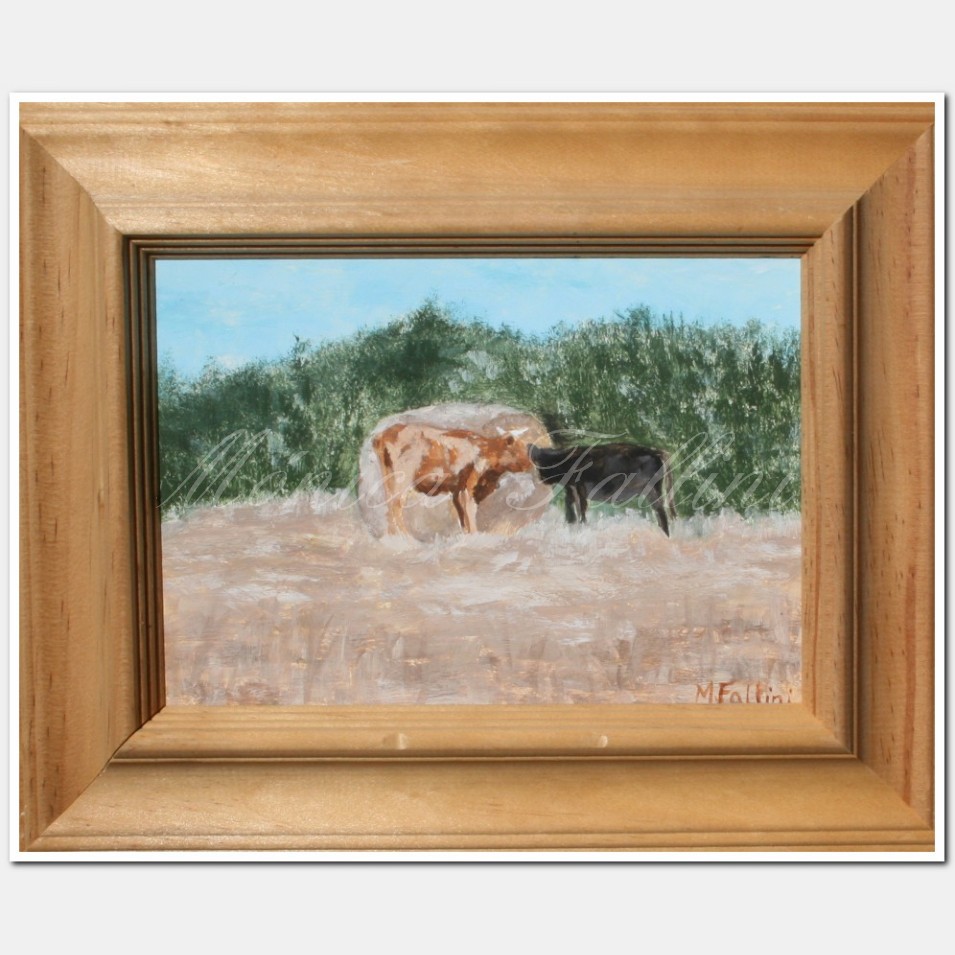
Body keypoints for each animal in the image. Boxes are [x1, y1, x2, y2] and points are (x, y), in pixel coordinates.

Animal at [372, 423, 535, 535]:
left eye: (525, 445)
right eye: (515, 448)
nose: (531, 463)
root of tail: (384, 434)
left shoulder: (457, 490)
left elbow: (463, 518)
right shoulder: (469, 487)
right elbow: (470, 514)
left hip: (388, 479)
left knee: (389, 507)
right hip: (402, 480)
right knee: (396, 506)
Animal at [528, 442, 677, 536]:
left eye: (541, 464)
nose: (539, 478)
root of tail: (656, 451)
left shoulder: (580, 488)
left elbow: (581, 510)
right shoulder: (572, 490)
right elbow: (572, 510)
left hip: (654, 490)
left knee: (662, 513)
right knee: (659, 513)